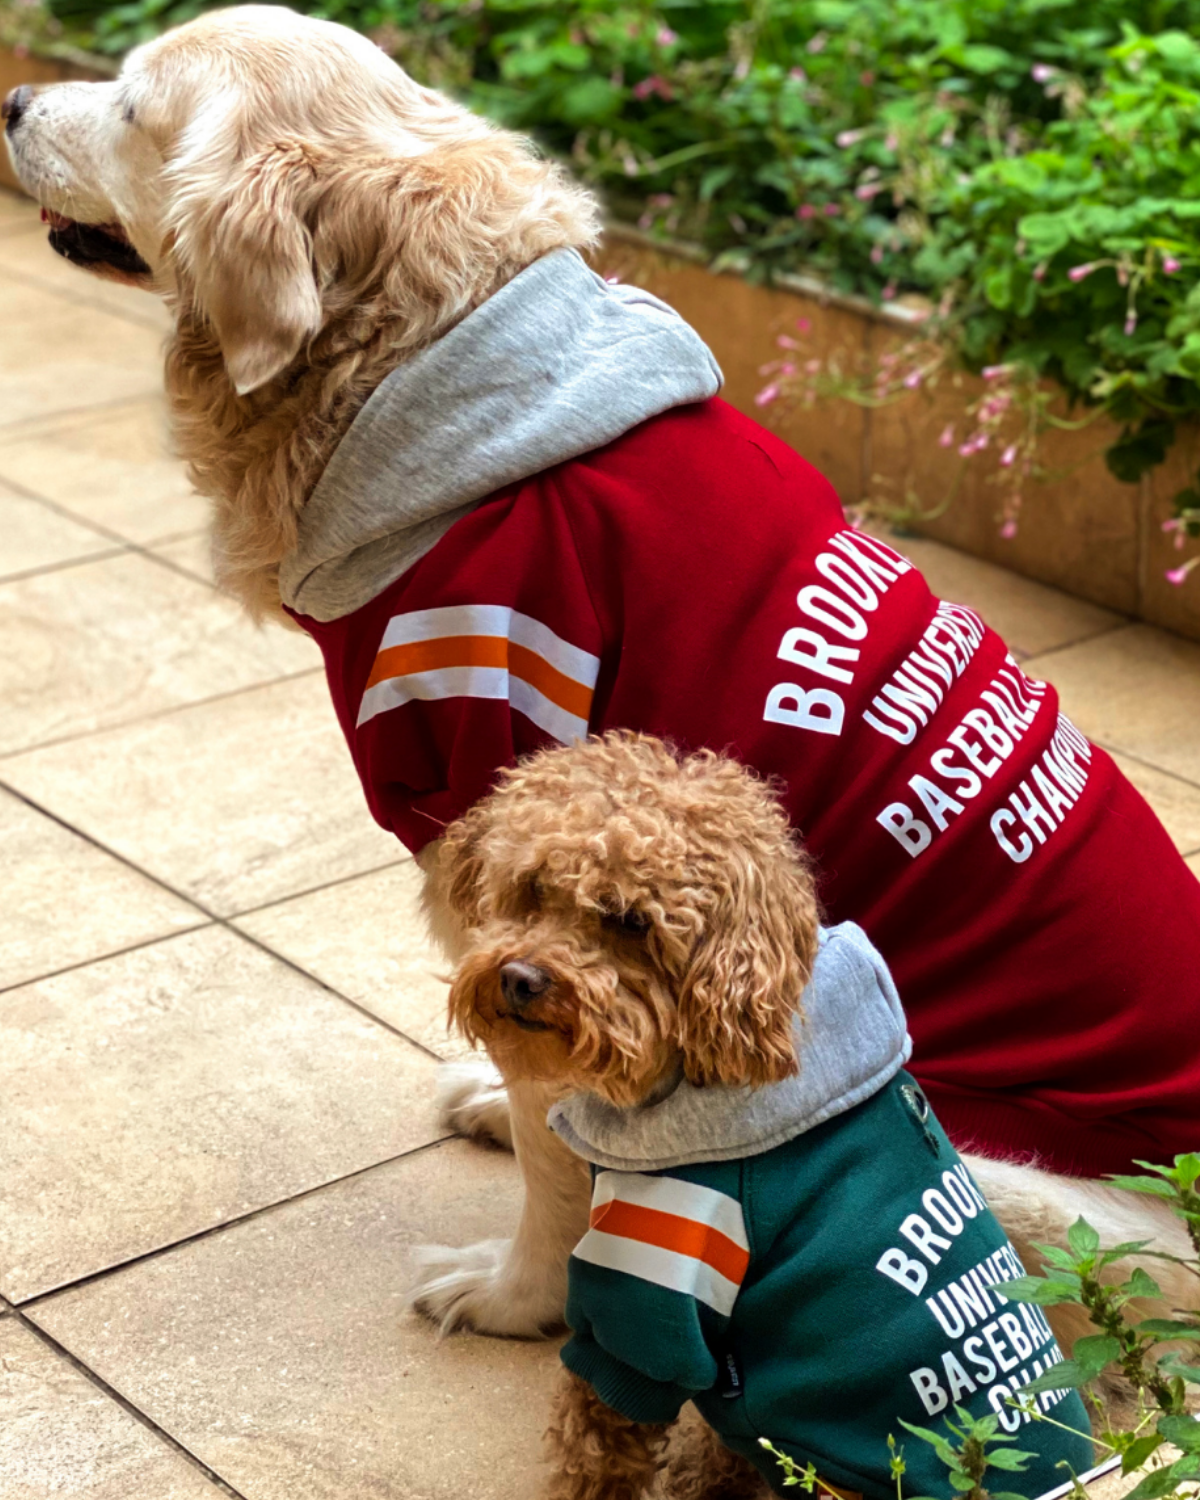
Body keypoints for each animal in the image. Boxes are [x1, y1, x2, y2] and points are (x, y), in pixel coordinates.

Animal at [5, 3, 1198, 1355]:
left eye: (132, 106)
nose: (10, 103)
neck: (413, 350)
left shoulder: (507, 805)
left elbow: (556, 1149)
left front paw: (516, 1298)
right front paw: (493, 1100)